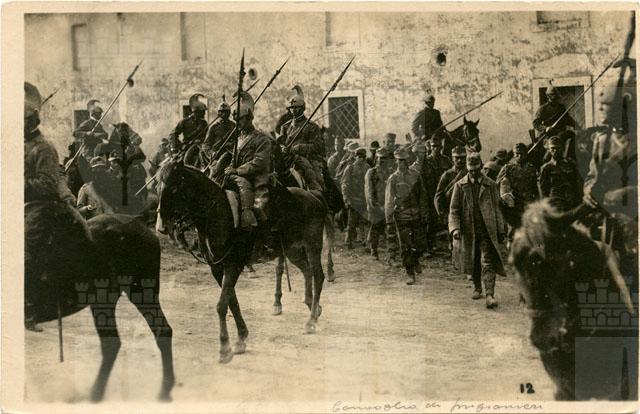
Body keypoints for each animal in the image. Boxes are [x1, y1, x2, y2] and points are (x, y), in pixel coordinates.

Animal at [157, 158, 329, 364]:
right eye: (158, 186)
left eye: (175, 187)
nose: (162, 226)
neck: (219, 214)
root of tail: (315, 198)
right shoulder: (217, 269)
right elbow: (232, 301)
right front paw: (241, 337)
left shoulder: (233, 266)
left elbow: (222, 305)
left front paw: (225, 348)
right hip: (292, 250)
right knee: (307, 271)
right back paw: (314, 308)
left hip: (312, 246)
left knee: (318, 276)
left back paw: (311, 321)